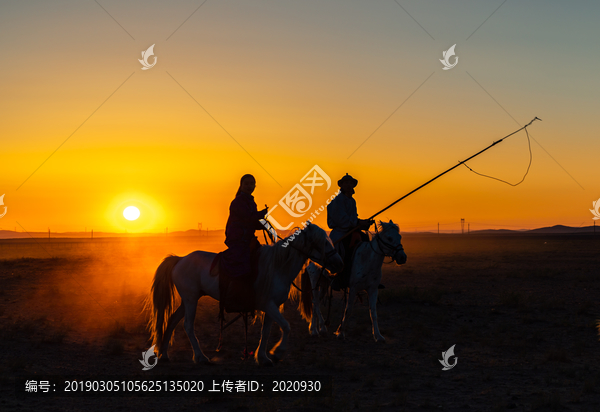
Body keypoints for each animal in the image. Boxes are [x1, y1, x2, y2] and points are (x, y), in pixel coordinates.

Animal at [145, 224, 342, 366]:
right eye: (324, 242)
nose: (339, 263)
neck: (278, 266)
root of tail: (179, 259)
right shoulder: (268, 304)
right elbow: (286, 327)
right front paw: (277, 353)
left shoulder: (271, 306)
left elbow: (266, 331)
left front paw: (263, 357)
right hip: (191, 299)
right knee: (187, 325)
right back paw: (200, 357)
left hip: (187, 300)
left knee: (171, 321)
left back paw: (164, 354)